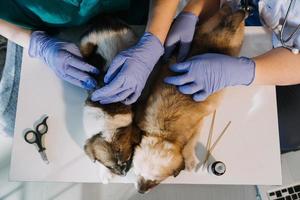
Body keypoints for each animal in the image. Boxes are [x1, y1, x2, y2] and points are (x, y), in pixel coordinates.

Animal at [79, 16, 141, 183]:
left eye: (127, 159)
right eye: (109, 166)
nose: (123, 174)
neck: (107, 125)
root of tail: (105, 19)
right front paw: (104, 174)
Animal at [132, 3, 245, 193]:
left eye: (156, 181)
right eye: (137, 173)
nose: (140, 190)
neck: (163, 132)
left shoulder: (197, 125)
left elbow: (190, 145)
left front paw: (190, 160)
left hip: (234, 43)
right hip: (210, 27)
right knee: (223, 16)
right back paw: (230, 8)